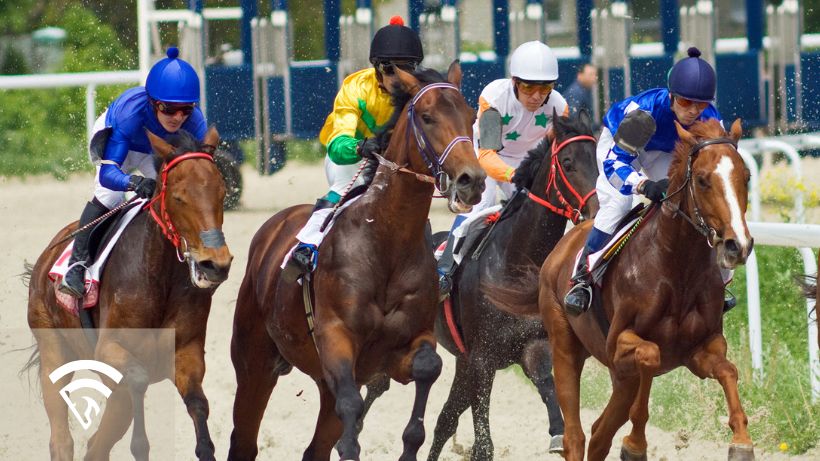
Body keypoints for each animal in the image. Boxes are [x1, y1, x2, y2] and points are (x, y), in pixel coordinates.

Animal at [25, 126, 234, 460]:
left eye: (222, 193)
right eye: (178, 198)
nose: (215, 264)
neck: (158, 276)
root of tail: (50, 252)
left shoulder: (185, 352)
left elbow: (197, 403)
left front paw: (206, 447)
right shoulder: (110, 351)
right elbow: (138, 381)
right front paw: (141, 444)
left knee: (97, 443)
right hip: (53, 350)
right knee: (62, 439)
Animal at [227, 62, 486, 460]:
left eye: (471, 116)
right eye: (427, 117)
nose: (472, 180)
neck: (386, 241)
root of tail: (274, 226)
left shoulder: (396, 350)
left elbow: (428, 368)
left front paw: (409, 444)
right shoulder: (336, 340)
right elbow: (351, 412)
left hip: (319, 378)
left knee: (315, 447)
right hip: (254, 362)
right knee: (244, 438)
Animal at [490, 118, 752, 460]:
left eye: (746, 177)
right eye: (703, 180)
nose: (738, 245)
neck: (676, 267)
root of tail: (561, 248)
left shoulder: (700, 350)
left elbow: (729, 371)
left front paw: (742, 441)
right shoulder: (618, 346)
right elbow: (650, 355)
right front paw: (635, 445)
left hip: (618, 375)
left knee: (601, 432)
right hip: (564, 345)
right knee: (576, 435)